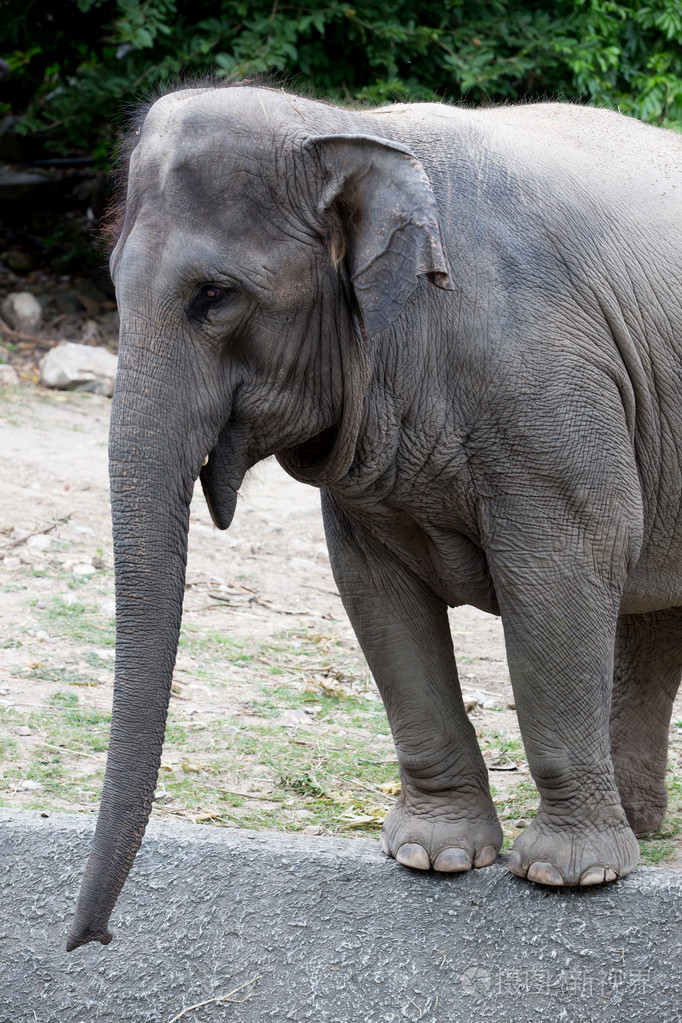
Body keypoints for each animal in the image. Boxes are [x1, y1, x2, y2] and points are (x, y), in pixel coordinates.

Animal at [65, 81, 682, 949]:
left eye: (214, 297)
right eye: (114, 281)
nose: (95, 939)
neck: (347, 126)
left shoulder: (551, 392)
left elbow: (563, 572)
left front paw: (570, 874)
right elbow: (375, 595)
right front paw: (435, 855)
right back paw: (636, 821)